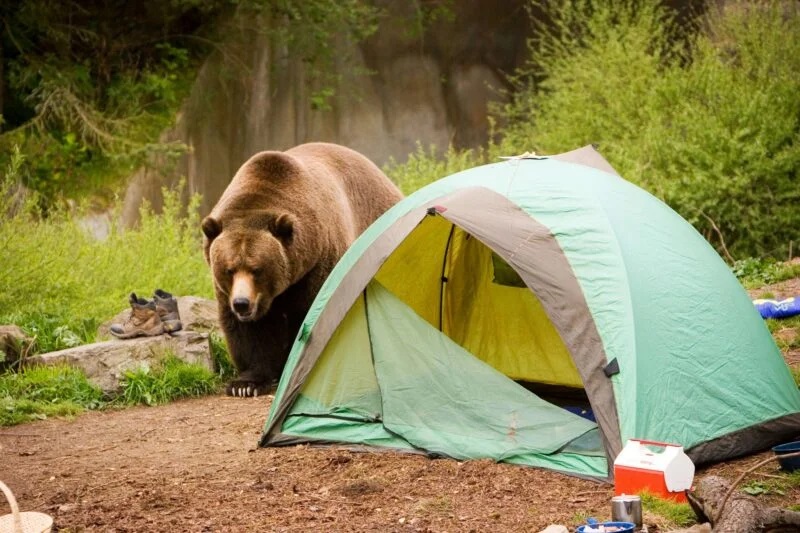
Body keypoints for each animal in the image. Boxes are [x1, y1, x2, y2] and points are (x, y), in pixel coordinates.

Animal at [200, 141, 400, 394]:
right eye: (229, 269)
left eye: (257, 269)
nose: (242, 303)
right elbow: (250, 332)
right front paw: (246, 384)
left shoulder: (318, 264)